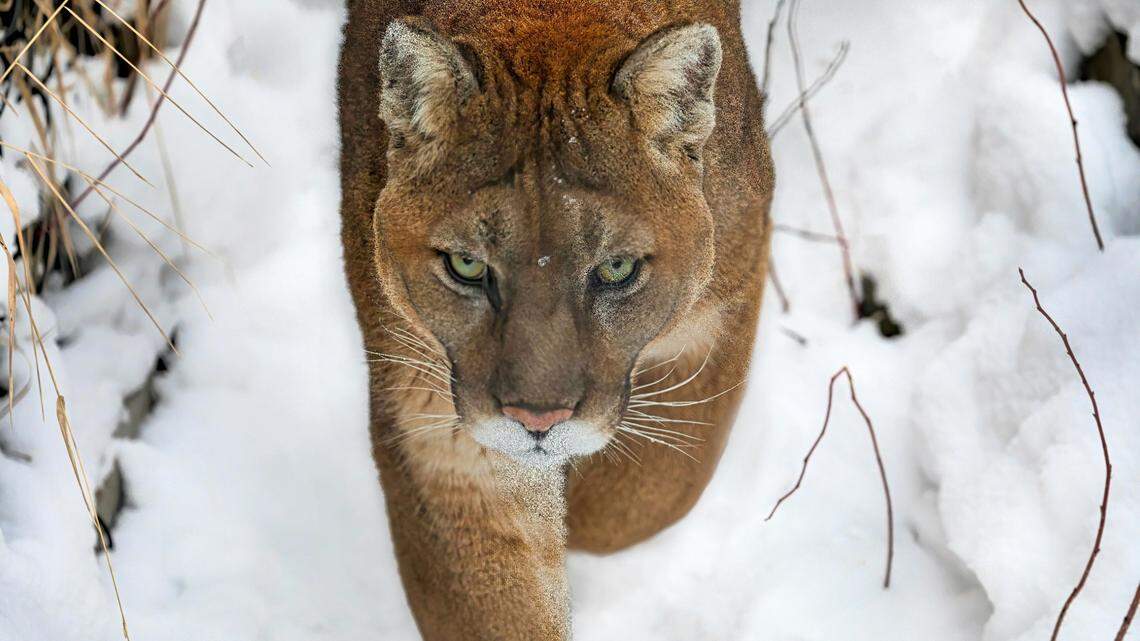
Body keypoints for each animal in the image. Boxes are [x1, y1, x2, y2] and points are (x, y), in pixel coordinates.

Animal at [338, 0, 773, 638]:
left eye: (616, 268)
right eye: (467, 265)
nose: (537, 420)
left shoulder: (715, 319)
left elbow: (643, 496)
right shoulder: (440, 426)